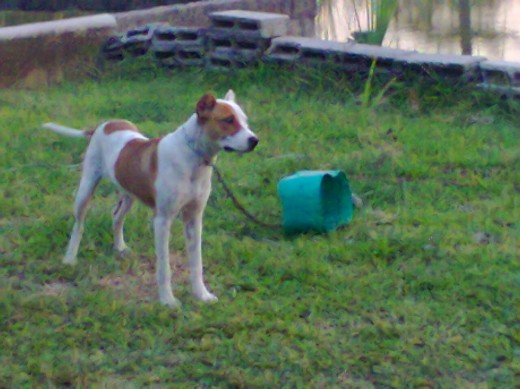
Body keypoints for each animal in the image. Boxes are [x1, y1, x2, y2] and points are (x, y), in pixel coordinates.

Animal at [43, 90, 258, 306]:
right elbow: (164, 267)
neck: (193, 156)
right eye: (228, 120)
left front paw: (202, 295)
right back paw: (70, 258)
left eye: (246, 121)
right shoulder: (162, 220)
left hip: (129, 192)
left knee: (116, 216)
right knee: (79, 224)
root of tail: (103, 125)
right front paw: (168, 300)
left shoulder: (194, 218)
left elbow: (196, 262)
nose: (254, 140)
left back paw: (120, 248)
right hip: (86, 187)